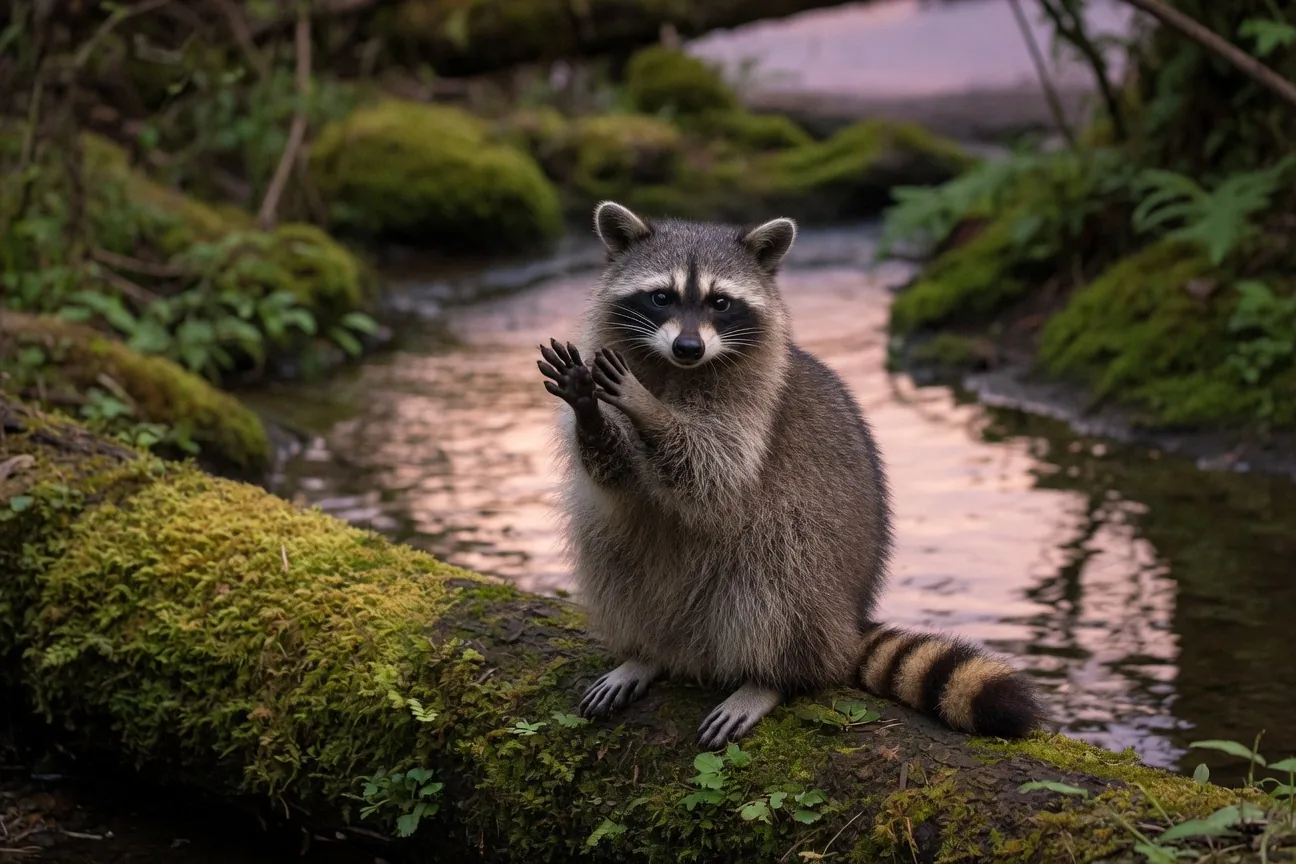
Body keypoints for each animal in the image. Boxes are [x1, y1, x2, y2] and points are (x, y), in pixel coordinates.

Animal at [537, 201, 1048, 749]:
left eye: (720, 302)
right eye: (661, 297)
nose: (689, 347)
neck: (677, 370)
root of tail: (848, 619)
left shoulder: (754, 406)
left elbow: (714, 467)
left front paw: (648, 408)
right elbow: (613, 475)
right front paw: (592, 414)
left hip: (813, 564)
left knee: (779, 574)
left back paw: (771, 679)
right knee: (611, 553)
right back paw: (649, 653)